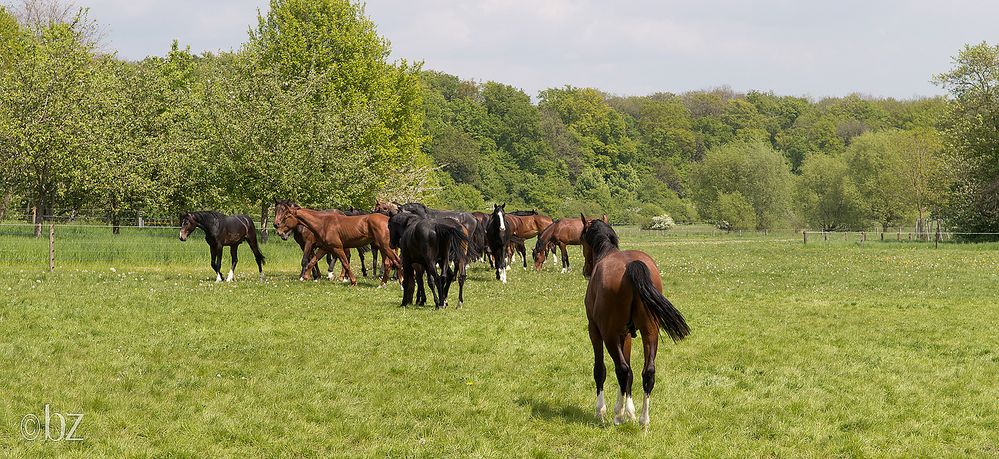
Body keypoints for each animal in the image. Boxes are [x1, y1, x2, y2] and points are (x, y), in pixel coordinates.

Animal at [274, 203, 402, 286]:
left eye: (286, 216)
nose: (278, 230)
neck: (324, 223)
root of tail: (388, 220)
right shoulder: (324, 248)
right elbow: (313, 261)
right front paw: (307, 277)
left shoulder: (337, 248)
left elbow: (345, 263)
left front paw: (352, 281)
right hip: (383, 248)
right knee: (388, 264)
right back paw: (382, 284)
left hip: (386, 247)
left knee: (396, 261)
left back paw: (400, 283)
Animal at [580, 215, 688, 428]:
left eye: (582, 240)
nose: (586, 270)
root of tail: (632, 266)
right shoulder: (626, 334)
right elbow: (629, 372)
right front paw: (628, 409)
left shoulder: (595, 331)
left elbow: (602, 370)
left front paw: (604, 411)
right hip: (650, 332)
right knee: (647, 372)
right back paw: (643, 419)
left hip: (609, 336)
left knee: (622, 369)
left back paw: (618, 416)